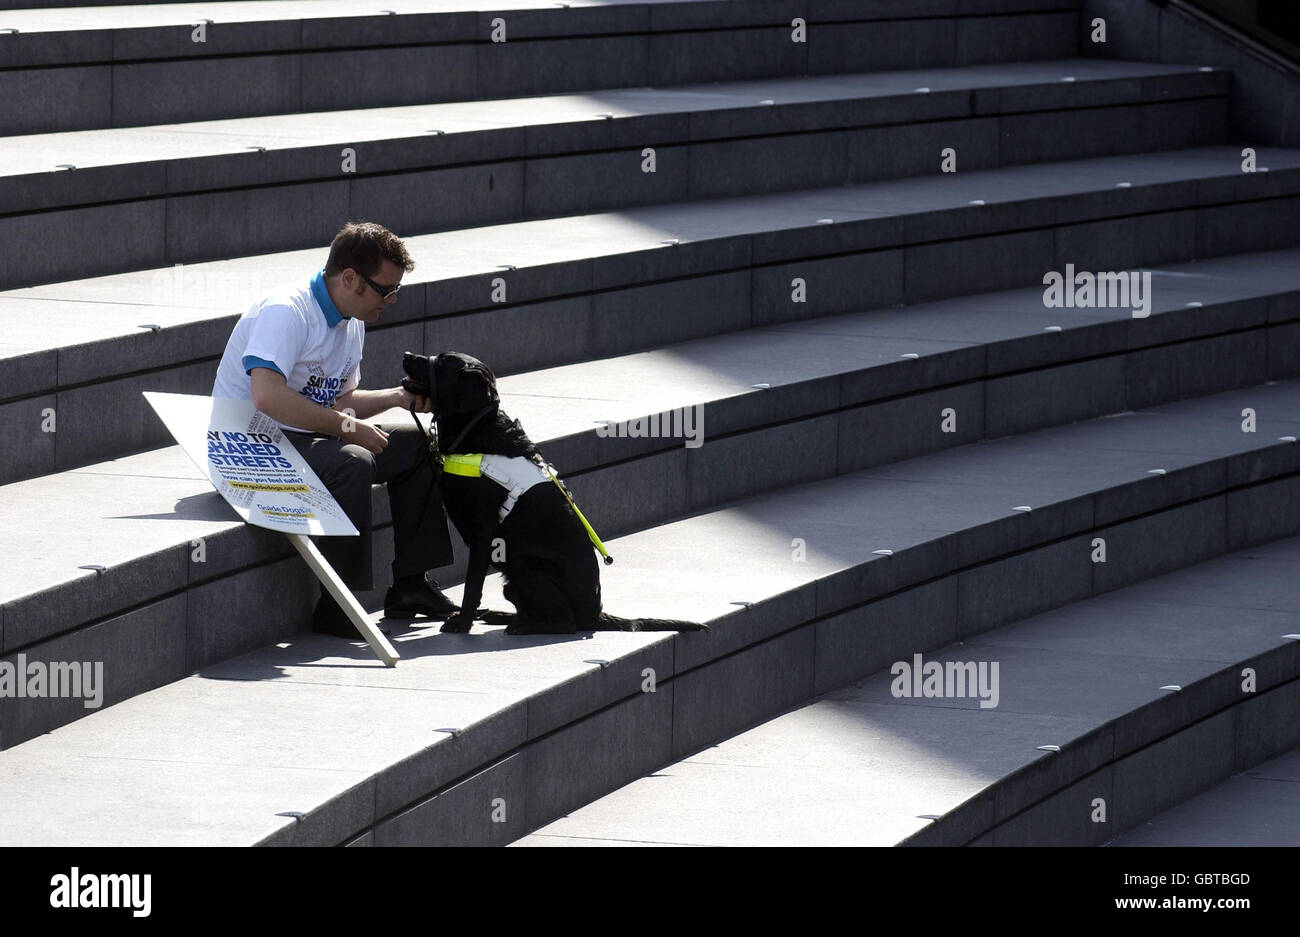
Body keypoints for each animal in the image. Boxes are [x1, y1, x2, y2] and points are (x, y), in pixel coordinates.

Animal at [405, 350, 712, 636]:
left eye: (443, 363)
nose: (407, 355)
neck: (478, 429)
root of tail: (595, 615)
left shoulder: (483, 534)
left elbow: (472, 586)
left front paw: (462, 622)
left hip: (529, 568)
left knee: (565, 624)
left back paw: (522, 627)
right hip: (514, 580)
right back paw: (506, 617)